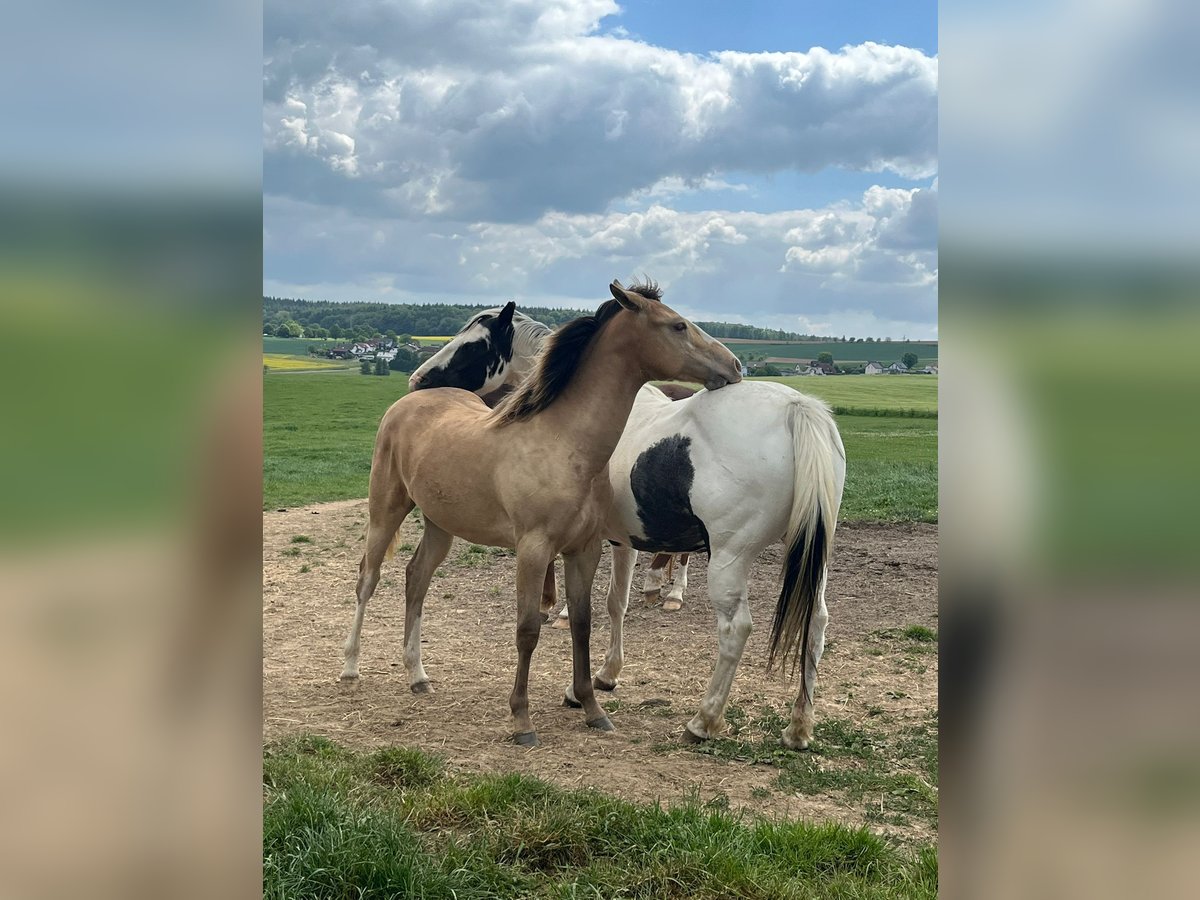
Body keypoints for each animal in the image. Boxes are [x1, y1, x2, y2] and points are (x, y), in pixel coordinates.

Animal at [340, 281, 742, 746]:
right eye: (677, 325)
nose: (733, 365)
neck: (563, 442)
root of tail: (408, 404)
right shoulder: (533, 549)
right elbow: (528, 628)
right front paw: (522, 720)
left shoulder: (583, 550)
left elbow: (583, 624)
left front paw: (592, 708)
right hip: (386, 509)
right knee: (368, 579)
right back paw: (350, 668)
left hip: (441, 525)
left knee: (416, 579)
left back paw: (417, 676)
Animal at [409, 302, 846, 749]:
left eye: (473, 346)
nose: (418, 382)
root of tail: (797, 408)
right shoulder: (622, 540)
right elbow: (615, 603)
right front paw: (602, 676)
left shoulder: (599, 541)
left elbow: (605, 604)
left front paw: (592, 677)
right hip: (810, 554)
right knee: (817, 622)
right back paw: (798, 726)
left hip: (729, 558)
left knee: (736, 629)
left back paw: (703, 721)